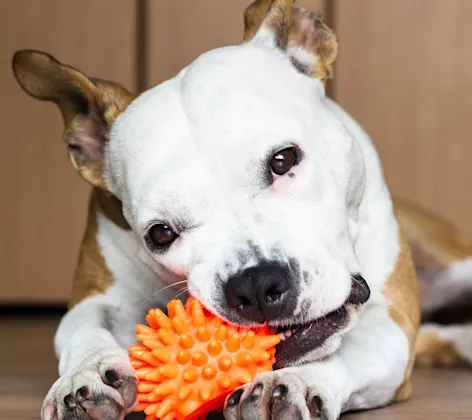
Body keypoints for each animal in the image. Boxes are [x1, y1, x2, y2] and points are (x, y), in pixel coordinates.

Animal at [11, 0, 472, 420]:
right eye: (160, 234)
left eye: (284, 159)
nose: (255, 284)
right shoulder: (98, 293)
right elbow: (83, 327)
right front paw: (84, 377)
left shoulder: (391, 323)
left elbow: (345, 352)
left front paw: (295, 381)